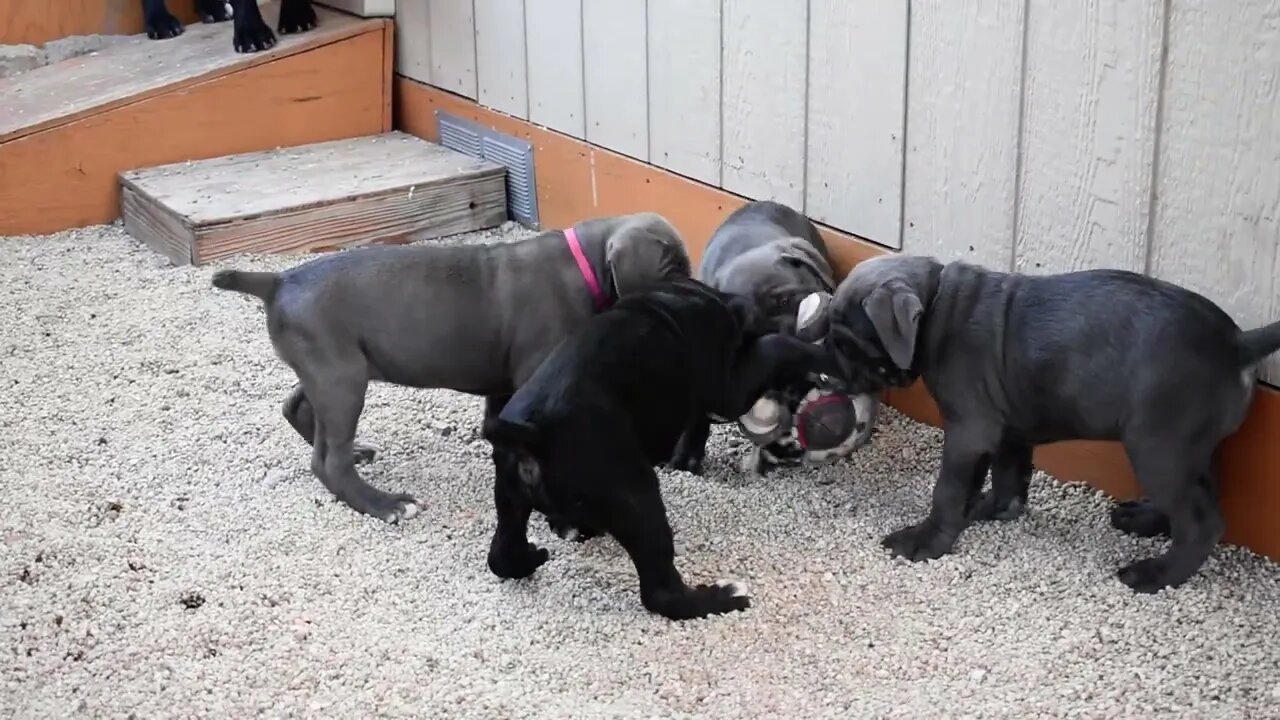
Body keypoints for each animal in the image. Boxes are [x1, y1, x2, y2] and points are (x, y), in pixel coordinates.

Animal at [211, 212, 691, 520]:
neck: (583, 265)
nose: (696, 288)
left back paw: (357, 452)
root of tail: (278, 280)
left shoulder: (505, 387)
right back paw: (384, 504)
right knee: (328, 460)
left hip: (331, 367)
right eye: (672, 266)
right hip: (341, 378)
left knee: (298, 409)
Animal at [481, 275, 839, 617]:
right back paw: (722, 598)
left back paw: (534, 554)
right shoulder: (730, 389)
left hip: (510, 496)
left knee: (501, 555)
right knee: (661, 594)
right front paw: (823, 356)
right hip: (637, 496)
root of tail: (534, 434)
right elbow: (775, 348)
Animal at [819, 254, 1280, 591]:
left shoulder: (969, 430)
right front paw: (991, 508)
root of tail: (1236, 343)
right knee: (1201, 495)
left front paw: (927, 539)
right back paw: (1146, 520)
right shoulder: (1006, 430)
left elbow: (948, 489)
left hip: (1155, 446)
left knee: (1202, 522)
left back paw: (1156, 574)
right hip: (1190, 447)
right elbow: (1007, 475)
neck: (937, 308)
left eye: (847, 343)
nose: (824, 372)